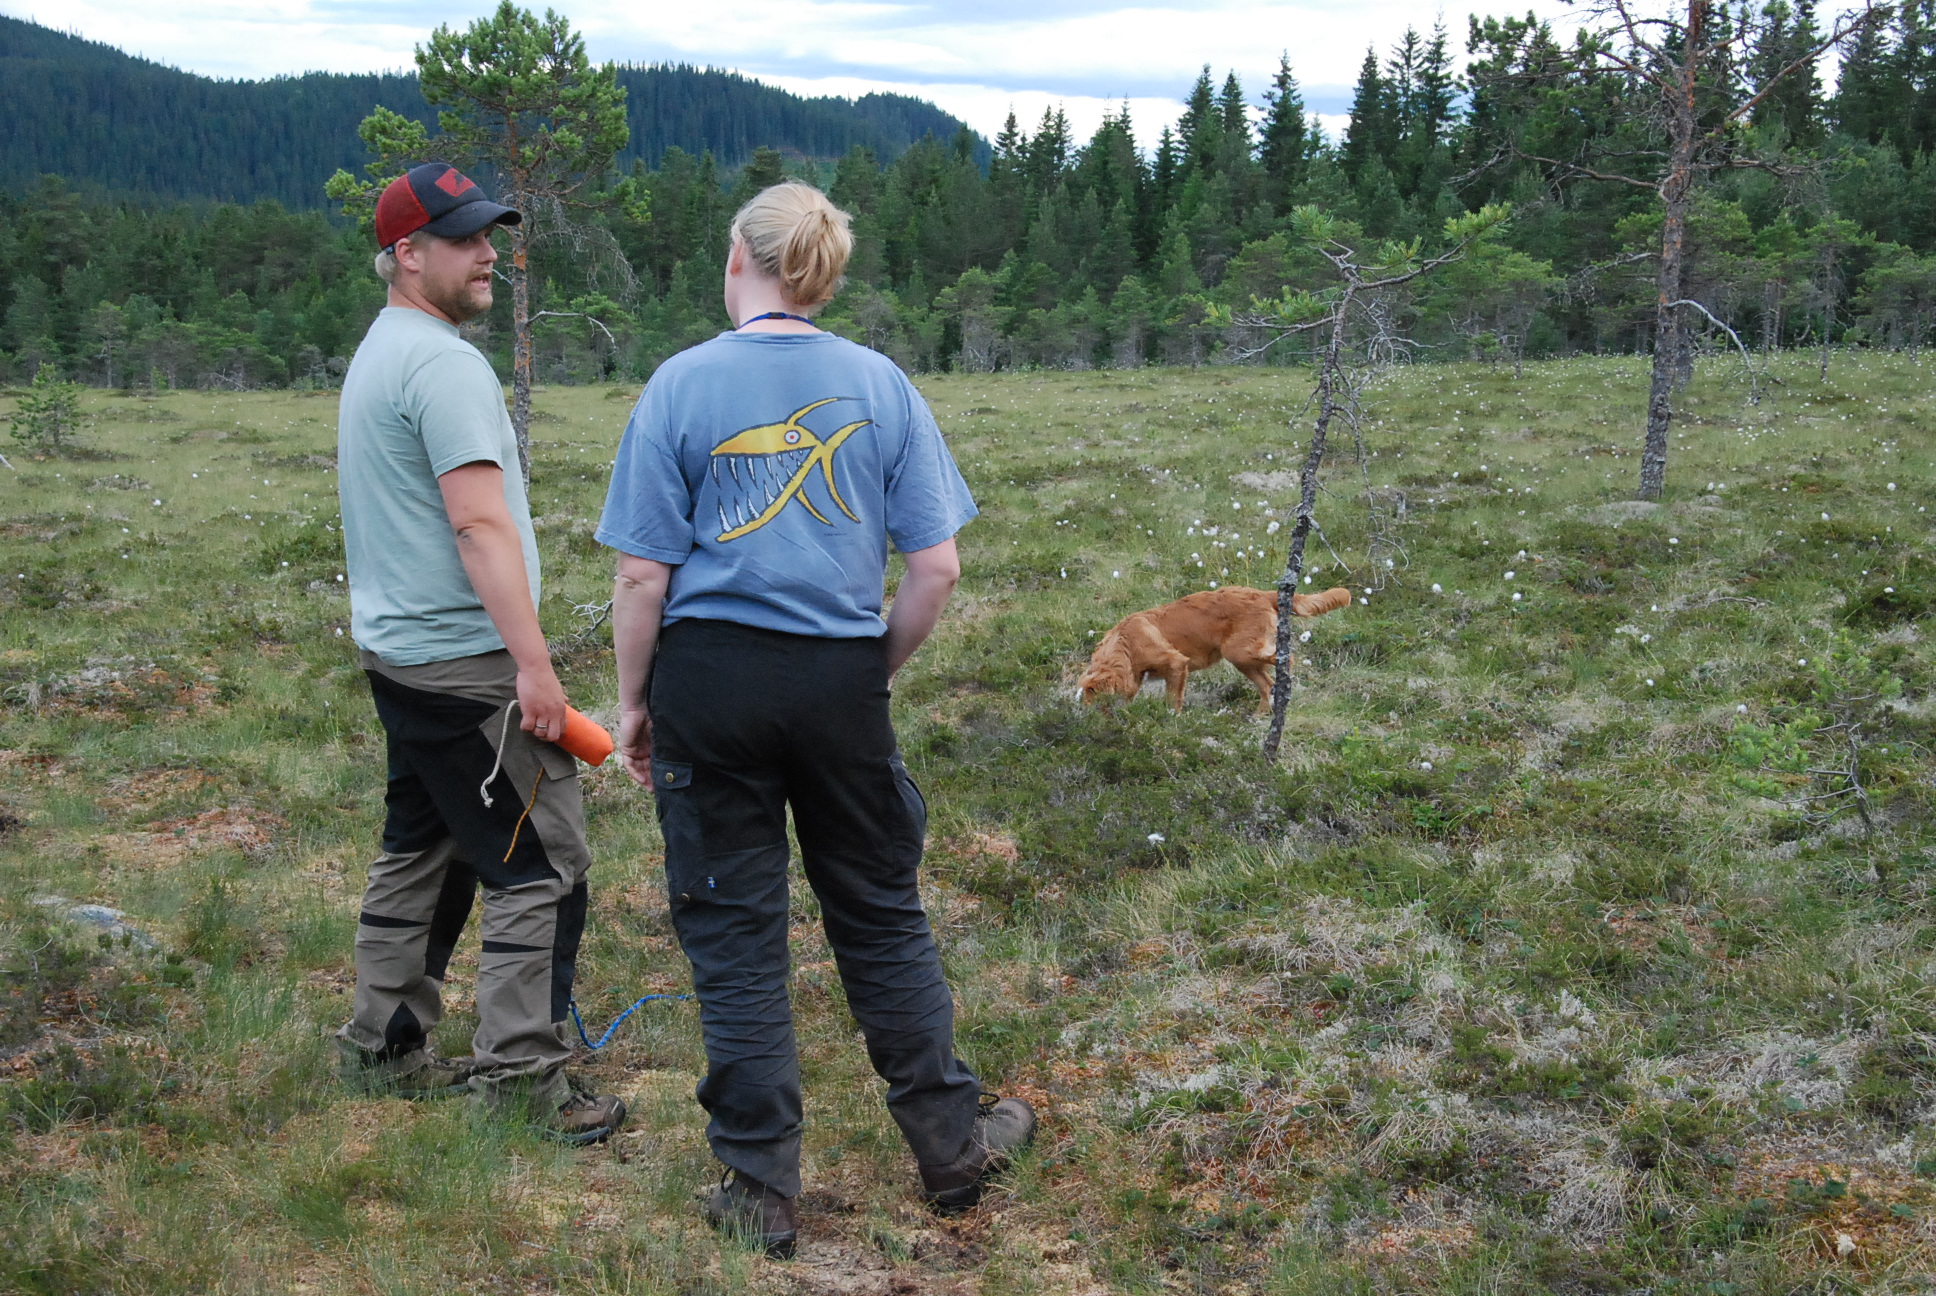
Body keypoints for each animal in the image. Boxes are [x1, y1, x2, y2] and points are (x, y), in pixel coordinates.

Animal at [1076, 585, 1347, 716]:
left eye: (1092, 695)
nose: (1083, 718)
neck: (1126, 644)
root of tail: (1262, 594)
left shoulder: (1176, 664)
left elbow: (1172, 700)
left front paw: (1170, 719)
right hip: (1244, 661)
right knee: (1267, 685)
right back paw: (1259, 715)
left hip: (1239, 652)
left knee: (1286, 658)